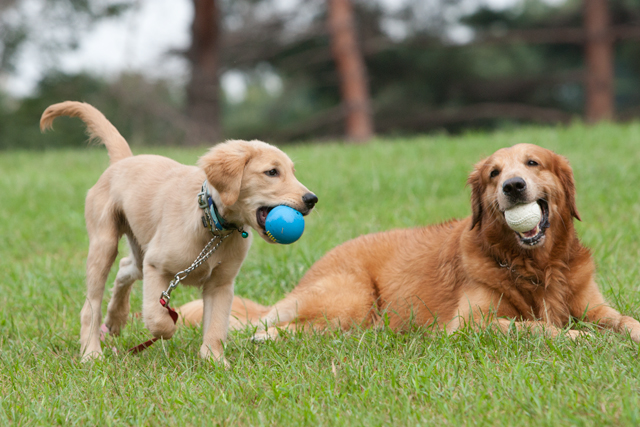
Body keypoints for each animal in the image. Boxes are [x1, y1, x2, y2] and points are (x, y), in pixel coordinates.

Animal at [42, 101, 318, 364]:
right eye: (272, 172)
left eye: (292, 172)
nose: (312, 199)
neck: (213, 227)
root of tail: (123, 161)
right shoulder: (156, 267)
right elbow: (158, 319)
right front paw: (170, 330)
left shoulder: (221, 284)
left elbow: (217, 325)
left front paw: (214, 361)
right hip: (105, 242)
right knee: (91, 306)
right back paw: (91, 353)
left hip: (139, 250)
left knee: (124, 268)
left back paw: (116, 319)